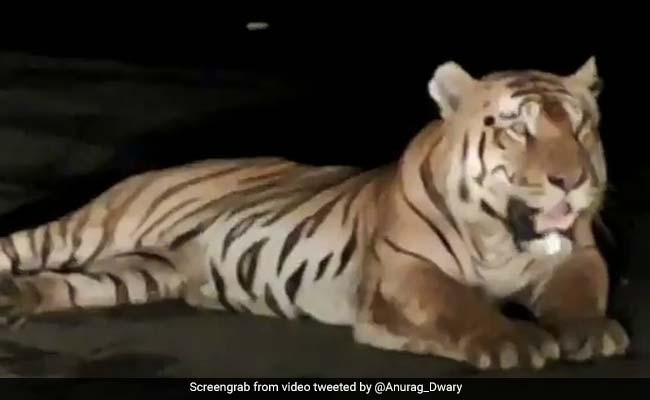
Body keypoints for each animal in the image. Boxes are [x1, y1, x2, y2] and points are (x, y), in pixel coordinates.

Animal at [0, 57, 630, 370]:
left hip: (138, 273)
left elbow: (580, 289)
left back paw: (15, 300)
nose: (571, 181)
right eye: (518, 128)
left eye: (580, 127)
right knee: (22, 246)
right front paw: (511, 342)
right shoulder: (406, 270)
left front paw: (589, 334)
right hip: (91, 229)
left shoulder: (579, 253)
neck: (502, 236)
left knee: (64, 286)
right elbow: (455, 301)